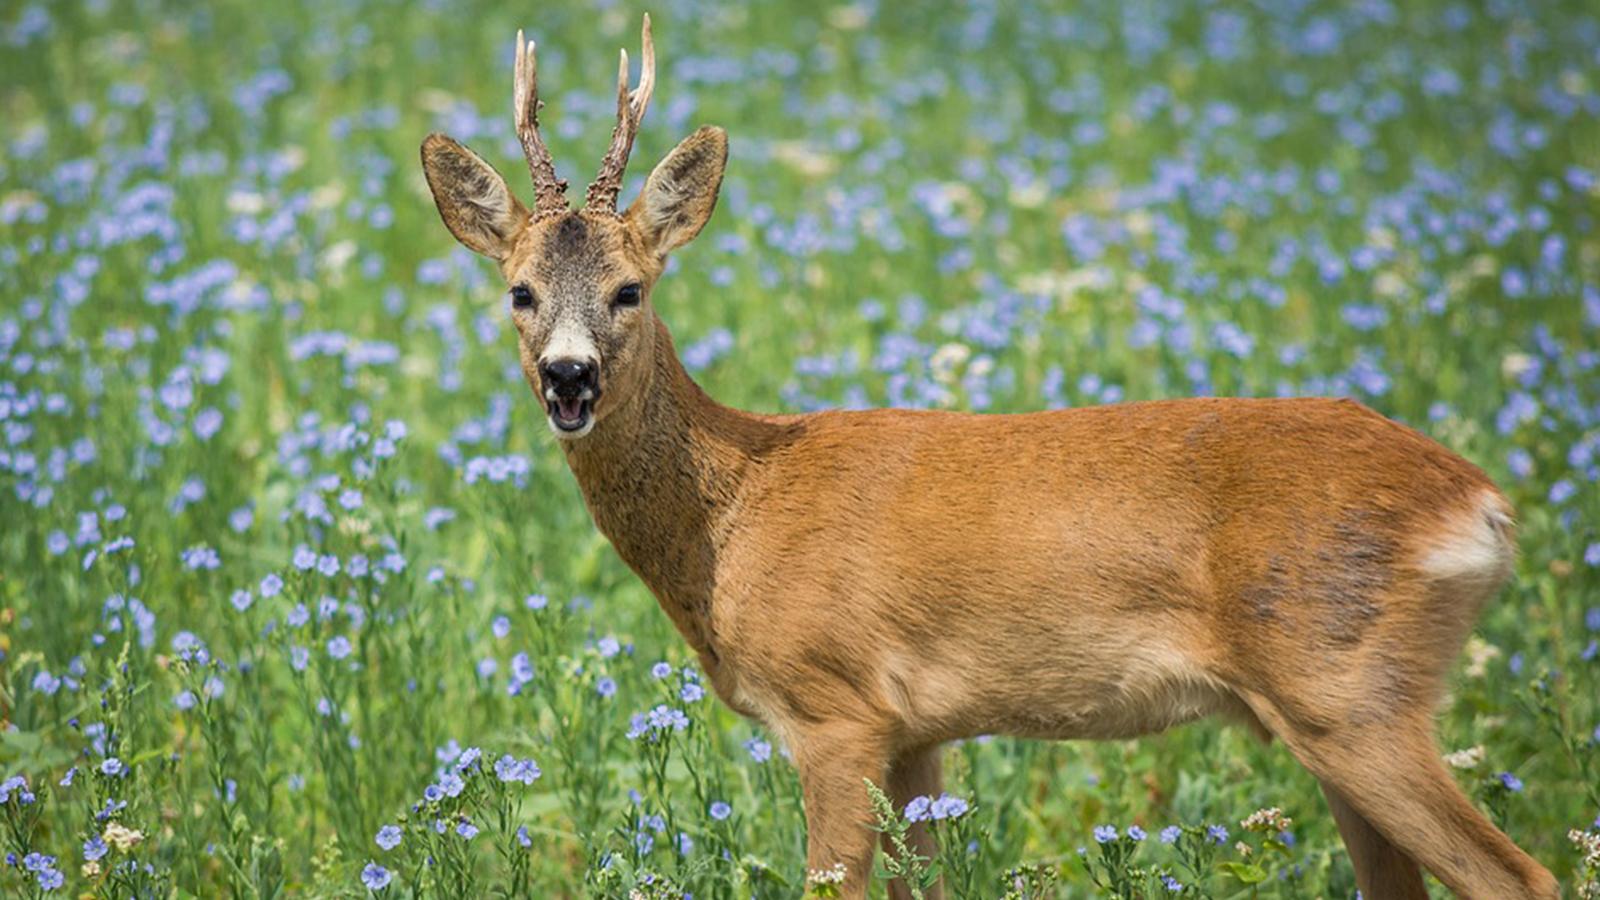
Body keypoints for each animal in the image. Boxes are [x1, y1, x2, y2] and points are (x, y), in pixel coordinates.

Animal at [419, 15, 1555, 896]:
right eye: (520, 291)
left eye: (630, 289)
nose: (569, 378)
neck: (735, 514)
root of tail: (1482, 504)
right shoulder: (917, 730)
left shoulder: (833, 707)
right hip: (1339, 712)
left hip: (1349, 689)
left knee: (1522, 875)